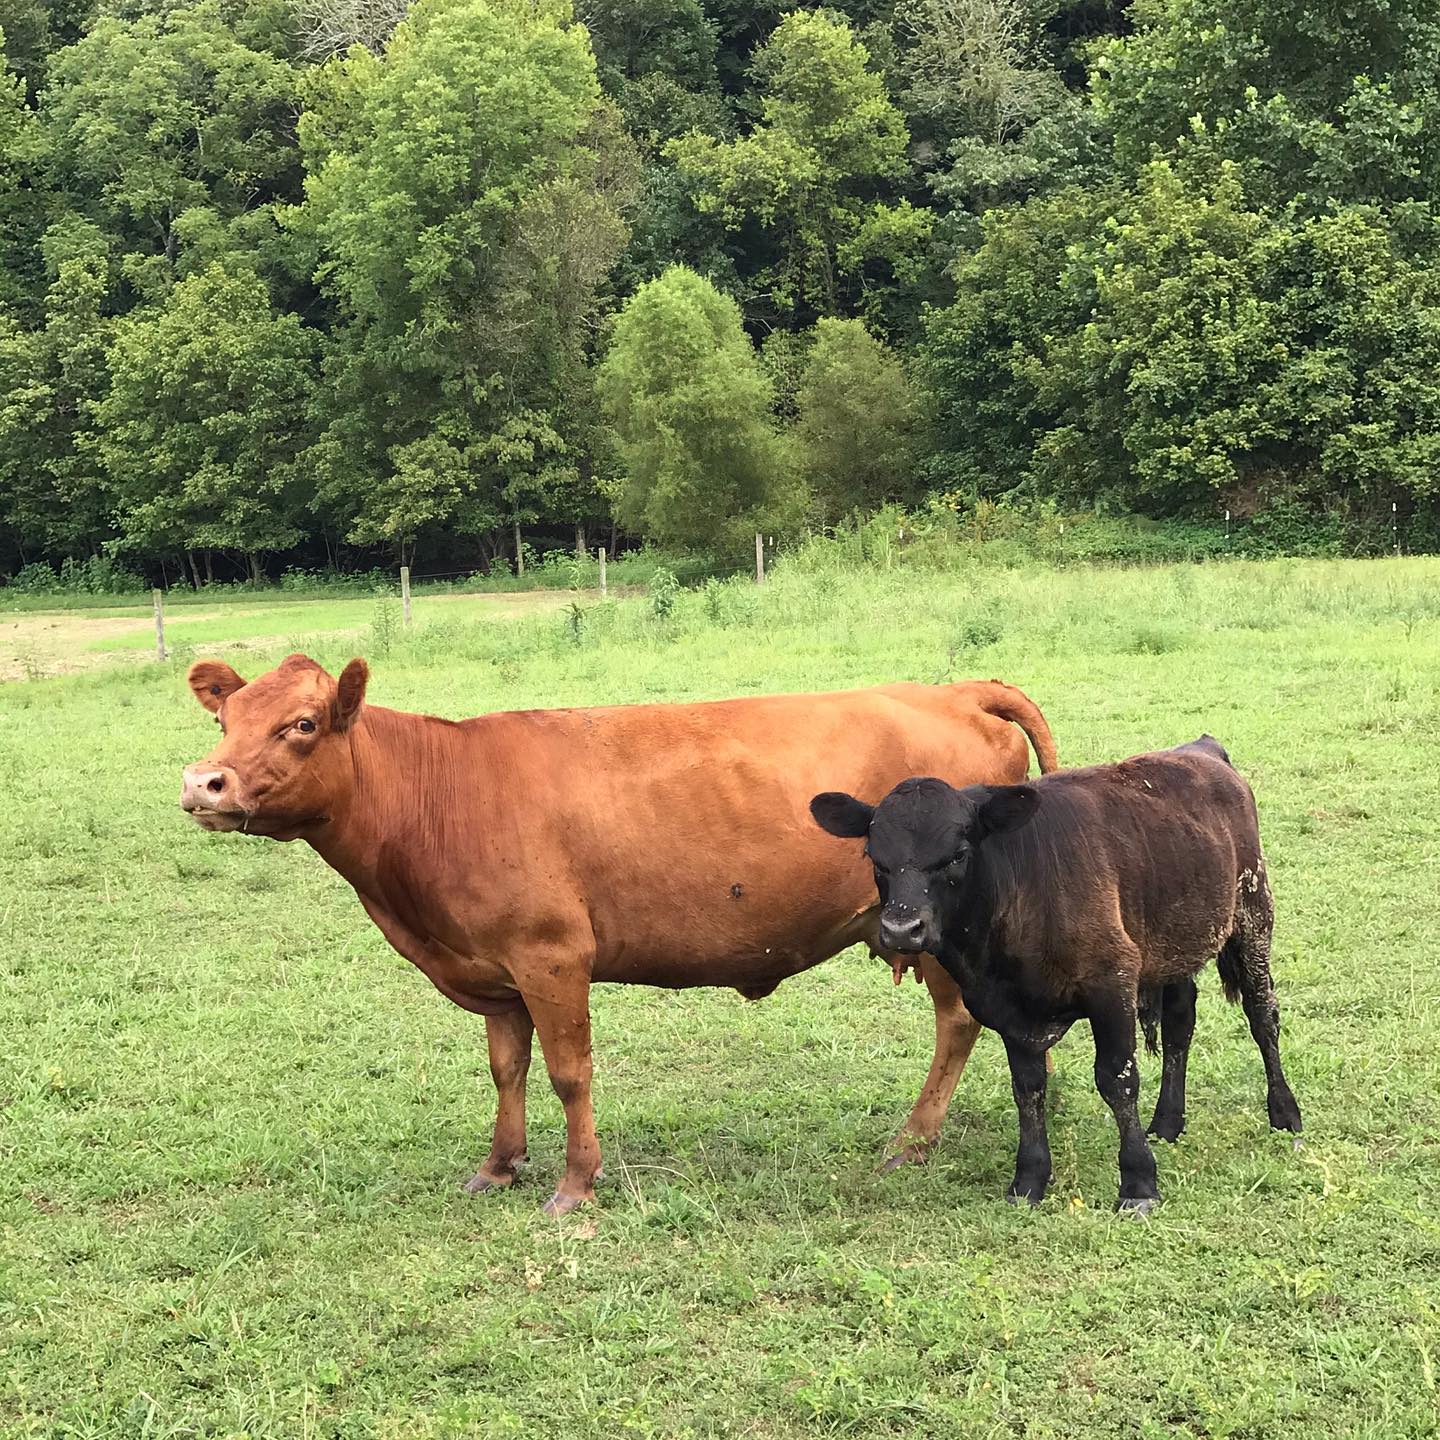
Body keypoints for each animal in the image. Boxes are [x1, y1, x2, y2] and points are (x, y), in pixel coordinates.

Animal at [180, 653, 1058, 1215]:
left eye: (302, 723)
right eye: (224, 717)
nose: (202, 781)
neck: (443, 793)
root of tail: (954, 691)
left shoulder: (552, 956)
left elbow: (569, 1073)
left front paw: (575, 1184)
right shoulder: (496, 972)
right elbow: (507, 1070)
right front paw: (498, 1167)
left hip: (939, 929)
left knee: (958, 1022)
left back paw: (912, 1140)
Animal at [810, 736, 1302, 1214]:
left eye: (958, 854)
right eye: (874, 857)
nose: (901, 928)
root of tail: (1201, 749)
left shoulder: (1113, 982)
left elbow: (1117, 1080)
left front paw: (1139, 1181)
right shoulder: (1005, 1010)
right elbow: (1028, 1089)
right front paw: (1028, 1179)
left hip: (1253, 916)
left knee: (1263, 1015)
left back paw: (1284, 1112)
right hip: (1172, 946)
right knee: (1180, 1021)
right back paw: (1167, 1121)